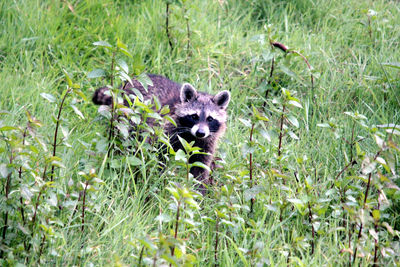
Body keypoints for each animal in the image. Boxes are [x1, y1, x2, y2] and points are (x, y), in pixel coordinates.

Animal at [92, 74, 230, 191]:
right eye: (194, 116)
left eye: (210, 119)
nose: (200, 132)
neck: (191, 136)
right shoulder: (165, 129)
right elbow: (160, 155)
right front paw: (158, 179)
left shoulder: (206, 143)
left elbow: (200, 167)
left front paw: (199, 191)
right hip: (125, 115)